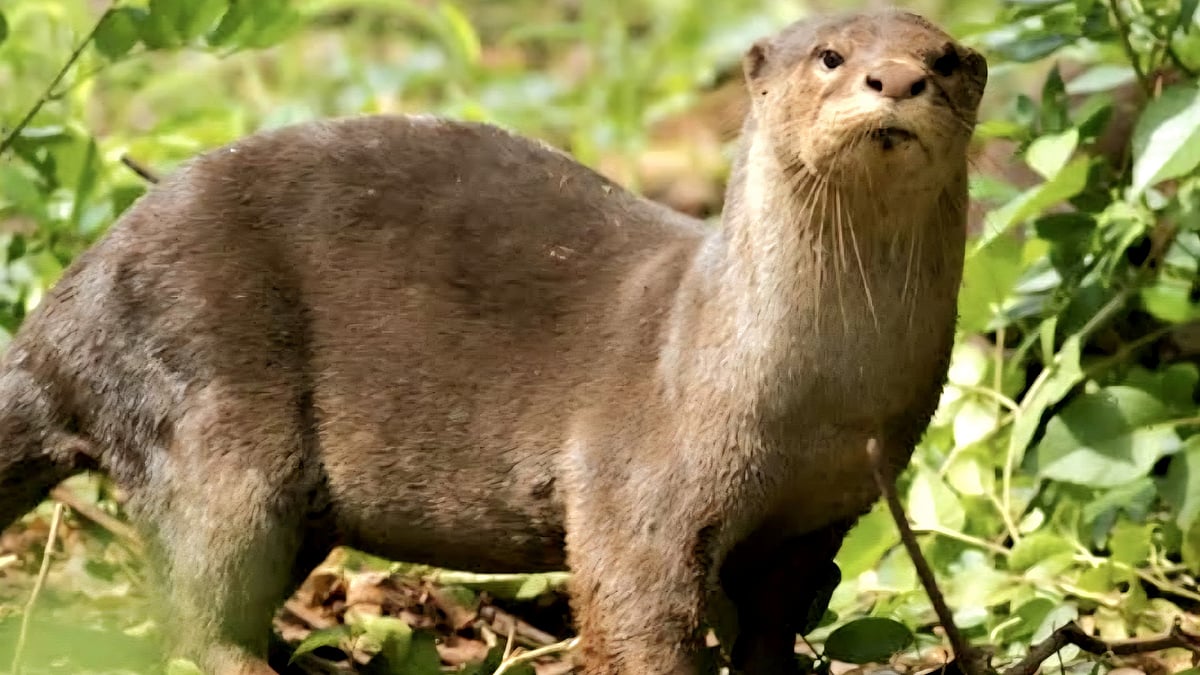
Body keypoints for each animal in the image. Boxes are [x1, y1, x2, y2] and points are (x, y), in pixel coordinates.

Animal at [0, 9, 987, 675]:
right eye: (832, 56)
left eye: (941, 59)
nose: (896, 80)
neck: (818, 395)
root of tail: (62, 312)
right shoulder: (638, 486)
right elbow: (634, 607)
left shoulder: (826, 508)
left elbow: (777, 621)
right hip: (206, 399)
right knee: (195, 593)